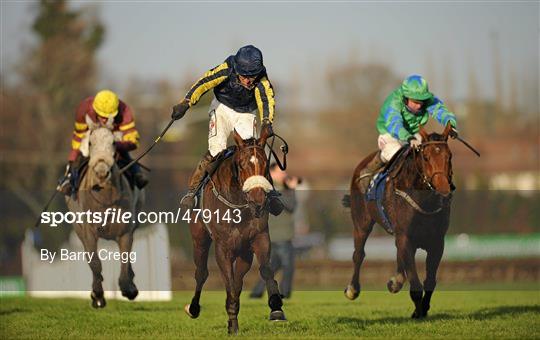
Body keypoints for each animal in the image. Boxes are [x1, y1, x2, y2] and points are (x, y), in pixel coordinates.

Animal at [185, 127, 286, 334]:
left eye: (265, 164)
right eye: (241, 165)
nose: (258, 200)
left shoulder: (259, 237)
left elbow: (265, 270)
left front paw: (276, 307)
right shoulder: (222, 247)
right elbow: (228, 283)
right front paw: (232, 323)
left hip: (244, 252)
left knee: (238, 281)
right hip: (199, 239)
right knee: (201, 273)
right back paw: (194, 308)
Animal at [344, 123, 454, 318]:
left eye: (449, 156)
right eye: (426, 157)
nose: (444, 192)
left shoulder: (437, 241)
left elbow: (430, 281)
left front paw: (422, 309)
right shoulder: (405, 237)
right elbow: (416, 284)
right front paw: (418, 313)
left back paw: (396, 281)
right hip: (361, 223)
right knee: (358, 254)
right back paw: (352, 289)